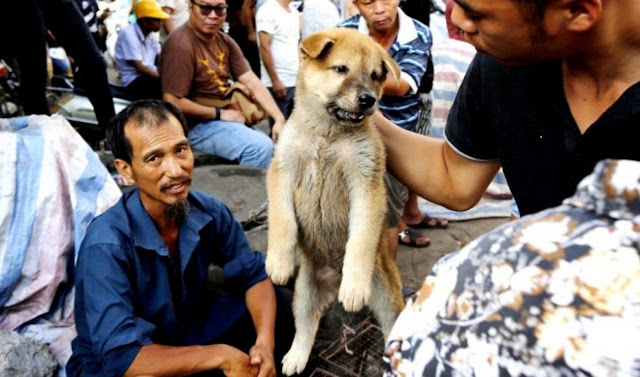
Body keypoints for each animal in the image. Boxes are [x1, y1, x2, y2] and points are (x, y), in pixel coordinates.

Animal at [264, 27, 404, 374]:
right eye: (341, 69)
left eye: (375, 76)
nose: (368, 100)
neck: (327, 135)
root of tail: (331, 280)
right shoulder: (282, 170)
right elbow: (283, 222)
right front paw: (279, 262)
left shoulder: (365, 184)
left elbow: (360, 239)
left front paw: (354, 284)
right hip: (303, 294)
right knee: (305, 327)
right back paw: (295, 358)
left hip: (385, 295)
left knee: (391, 327)